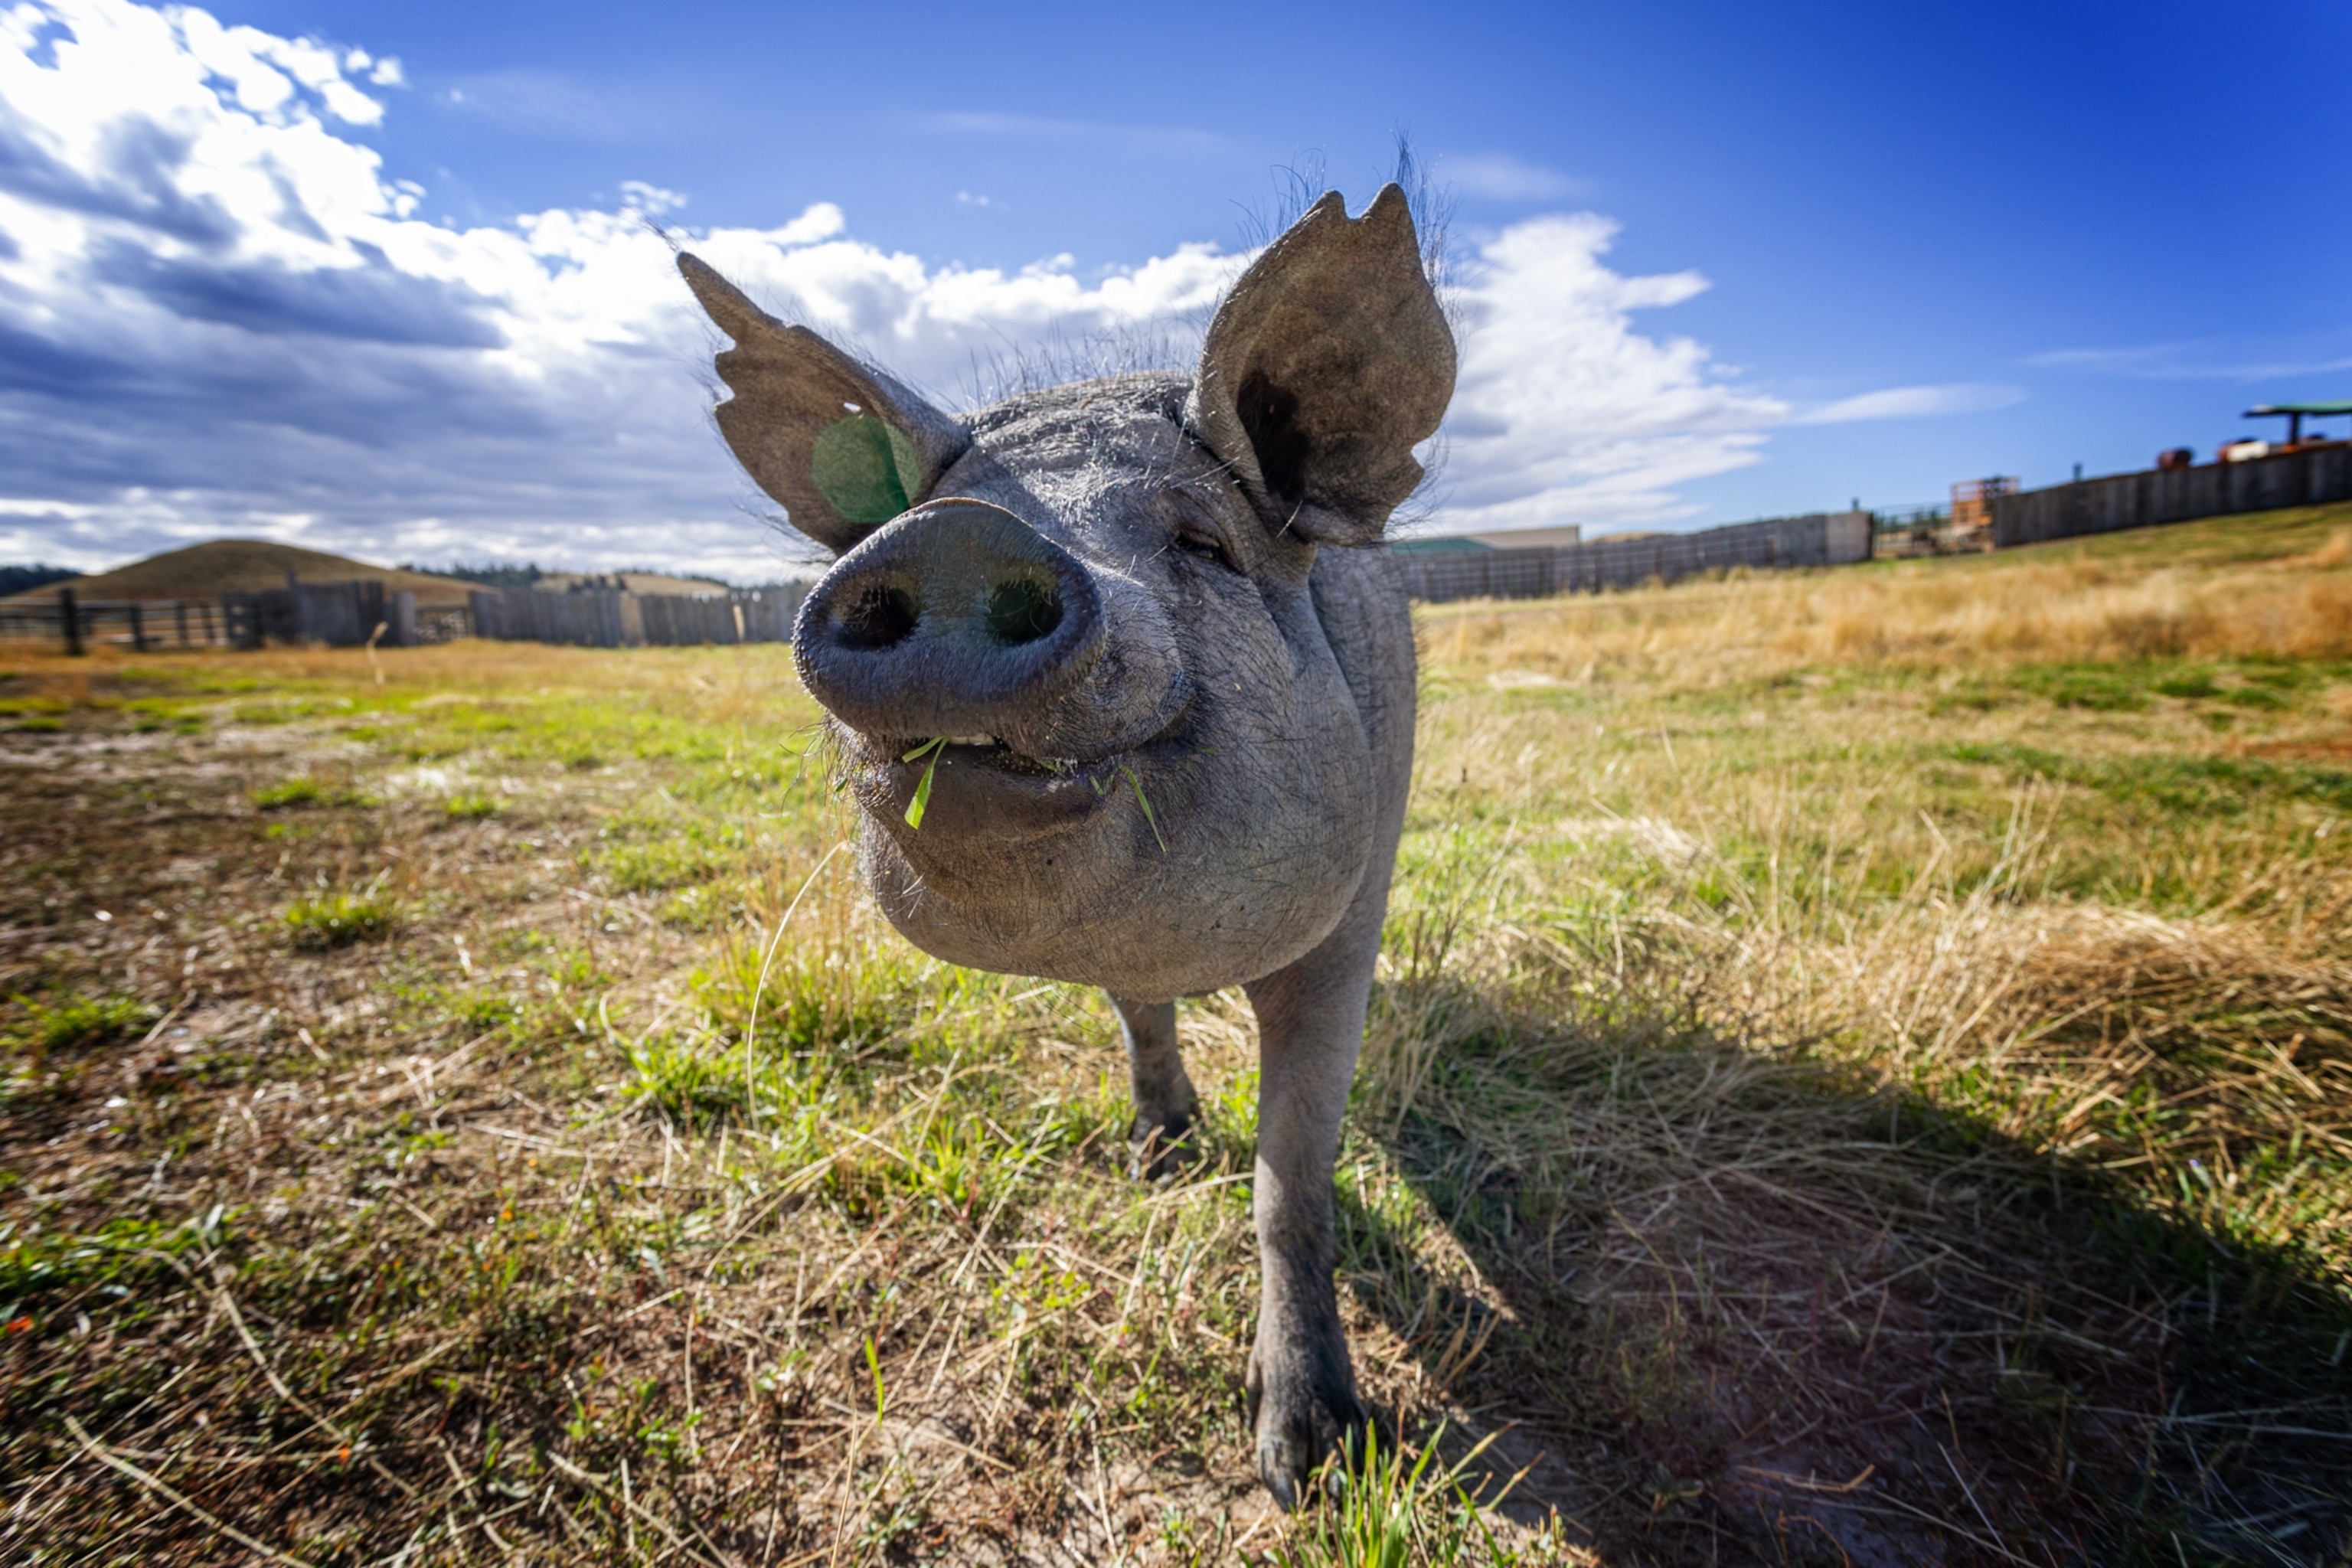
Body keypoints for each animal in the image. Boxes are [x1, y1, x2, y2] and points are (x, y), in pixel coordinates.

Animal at [677, 183, 1454, 1507]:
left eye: (1202, 542)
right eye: (927, 517)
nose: (951, 539)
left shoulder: (1348, 926)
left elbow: (1291, 1179)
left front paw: (1310, 1466)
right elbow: (1140, 1025)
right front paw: (1156, 1159)